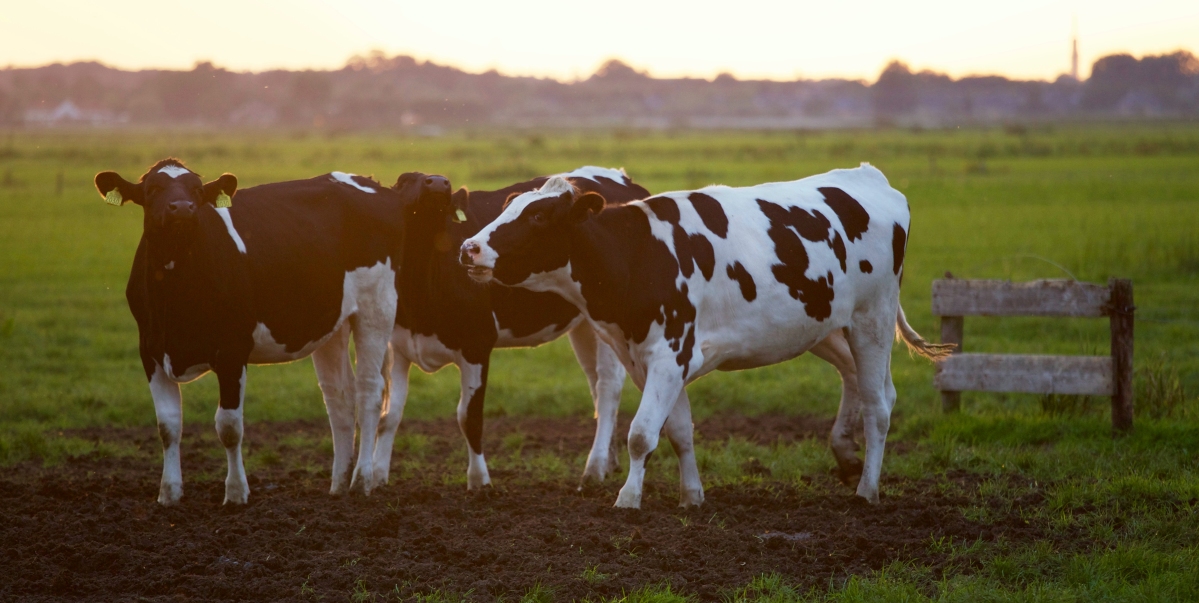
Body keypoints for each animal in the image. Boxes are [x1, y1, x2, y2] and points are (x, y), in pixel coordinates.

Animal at [95, 159, 450, 505]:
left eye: (196, 190)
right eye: (152, 189)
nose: (182, 208)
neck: (176, 292)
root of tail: (373, 184)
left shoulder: (232, 351)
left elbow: (229, 426)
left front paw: (236, 492)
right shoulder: (151, 351)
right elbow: (167, 425)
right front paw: (169, 493)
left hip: (376, 307)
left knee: (369, 392)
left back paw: (361, 480)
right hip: (331, 323)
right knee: (339, 398)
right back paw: (337, 483)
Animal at [369, 167, 652, 489]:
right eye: (404, 180)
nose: (439, 182)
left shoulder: (477, 344)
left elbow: (469, 417)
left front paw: (479, 482)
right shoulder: (398, 346)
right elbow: (389, 415)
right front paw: (376, 477)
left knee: (607, 388)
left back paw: (594, 469)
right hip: (585, 324)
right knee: (595, 384)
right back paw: (609, 461)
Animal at [460, 163, 954, 508]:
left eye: (539, 217)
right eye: (508, 208)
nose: (469, 248)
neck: (638, 254)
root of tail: (869, 177)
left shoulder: (669, 353)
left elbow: (641, 434)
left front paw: (628, 498)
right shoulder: (650, 359)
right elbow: (678, 431)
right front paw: (691, 495)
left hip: (872, 319)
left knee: (879, 405)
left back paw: (868, 489)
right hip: (825, 325)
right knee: (860, 381)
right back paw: (846, 455)